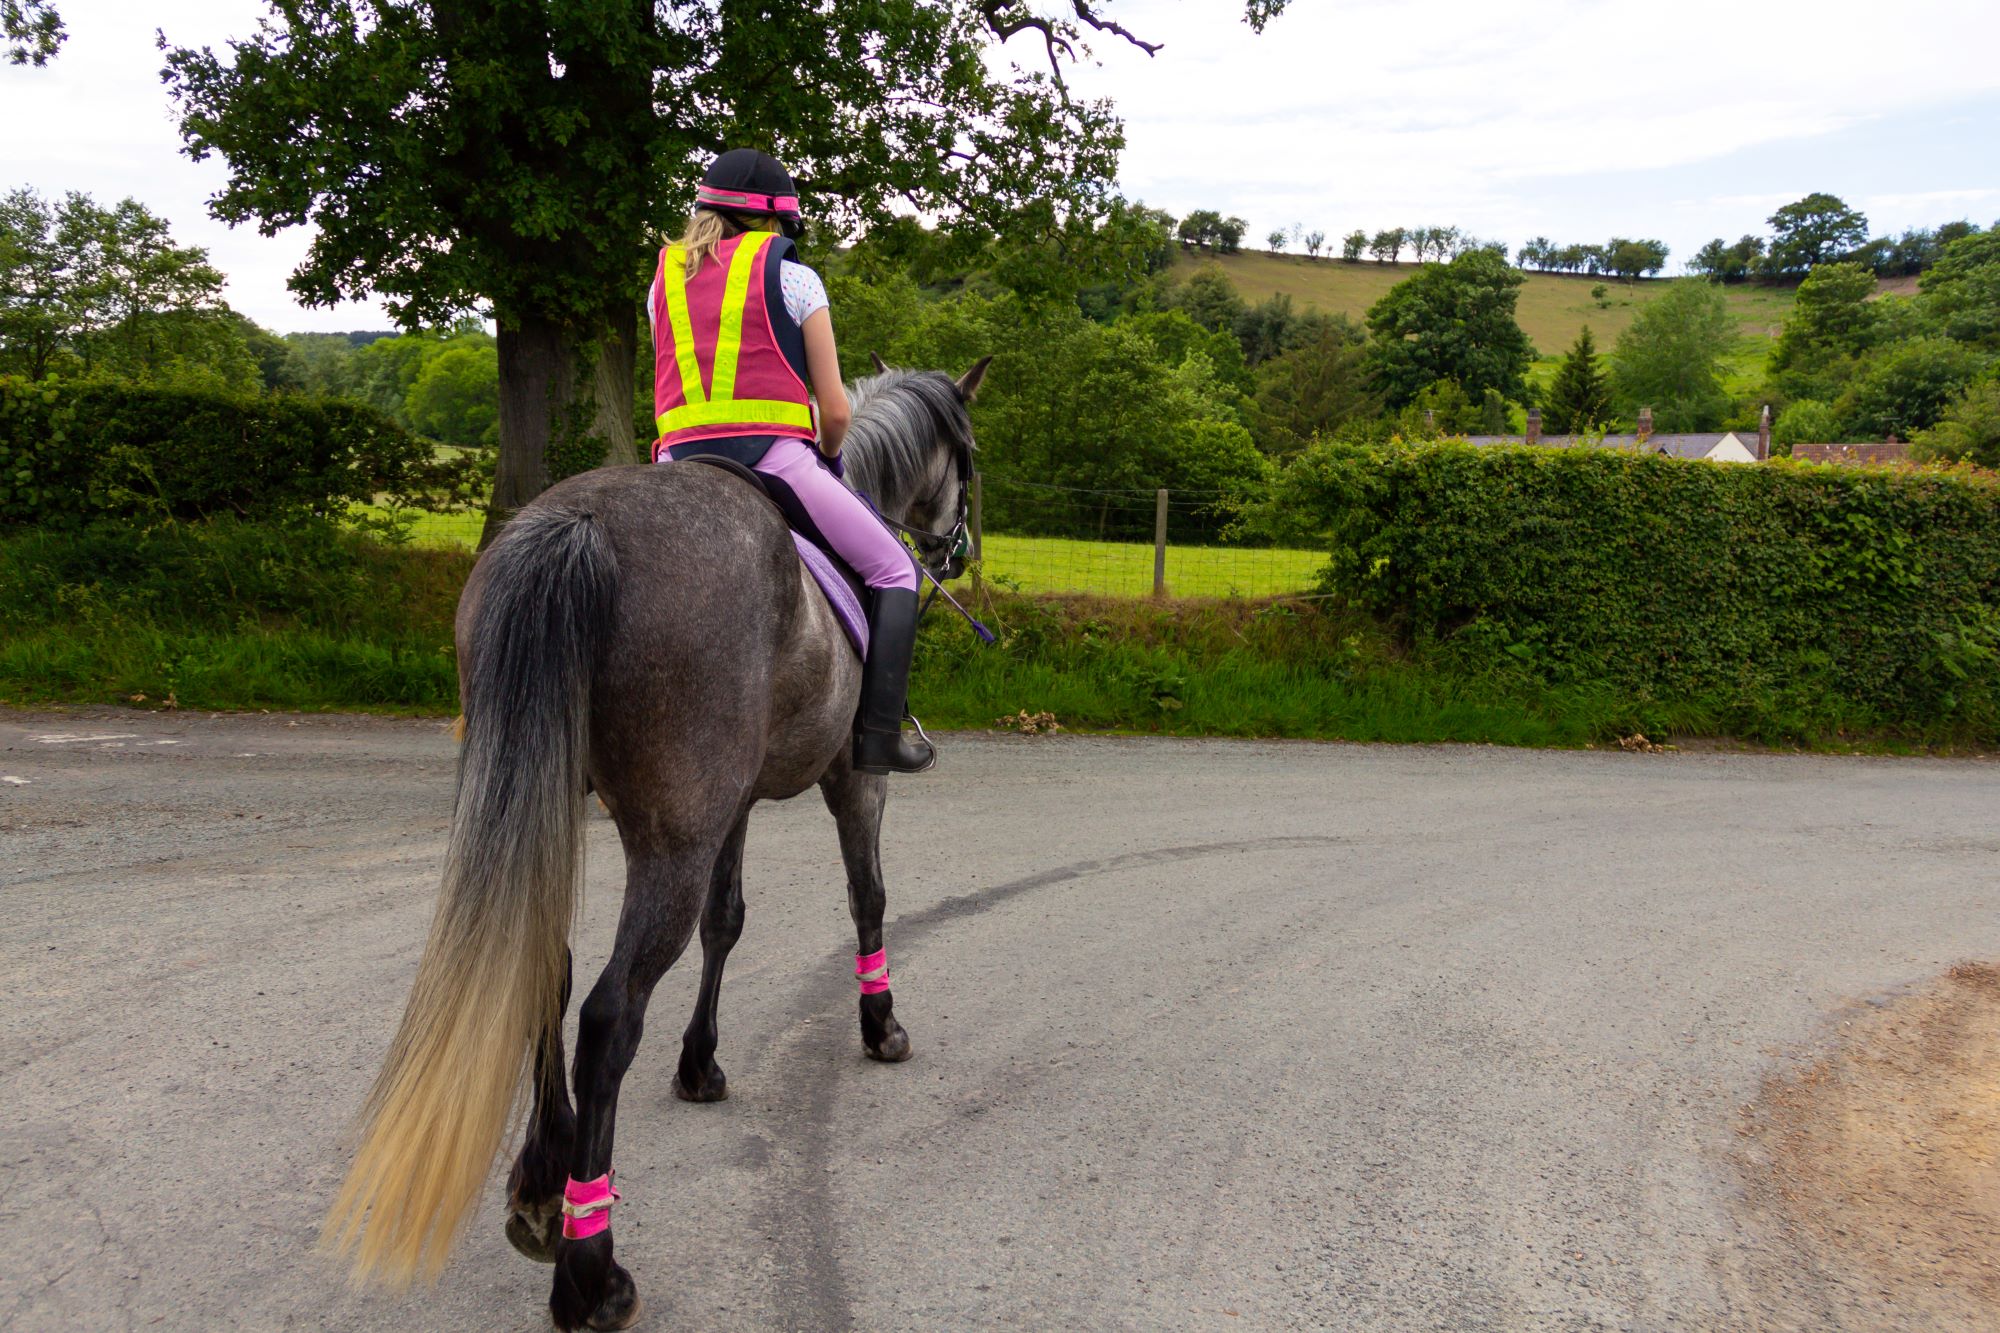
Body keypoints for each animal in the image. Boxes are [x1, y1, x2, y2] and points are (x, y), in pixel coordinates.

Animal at [323, 359, 989, 1329]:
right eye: (967, 456)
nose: (958, 549)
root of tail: (580, 524)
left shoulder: (731, 806)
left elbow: (728, 921)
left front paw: (701, 1061)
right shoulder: (851, 781)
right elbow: (867, 896)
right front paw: (881, 1022)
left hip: (567, 806)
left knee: (549, 968)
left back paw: (543, 1185)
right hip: (670, 842)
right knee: (609, 1014)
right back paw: (591, 1267)